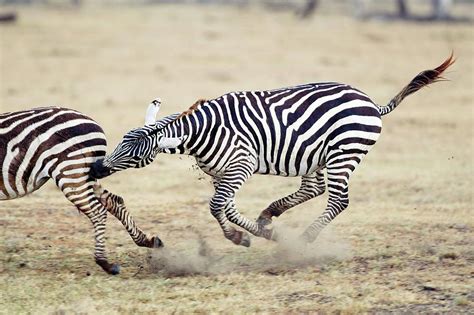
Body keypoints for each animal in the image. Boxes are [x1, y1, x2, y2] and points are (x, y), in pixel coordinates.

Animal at [0, 107, 163, 276]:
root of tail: (92, 122)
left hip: (71, 173)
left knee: (98, 212)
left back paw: (105, 263)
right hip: (86, 174)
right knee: (113, 201)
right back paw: (147, 240)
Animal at [90, 55, 456, 248]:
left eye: (133, 153)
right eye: (120, 141)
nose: (95, 169)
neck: (203, 132)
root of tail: (372, 104)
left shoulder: (241, 165)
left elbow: (217, 206)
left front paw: (239, 237)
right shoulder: (223, 173)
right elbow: (227, 206)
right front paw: (261, 231)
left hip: (344, 152)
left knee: (338, 199)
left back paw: (305, 238)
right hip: (314, 156)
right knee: (314, 188)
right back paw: (270, 214)